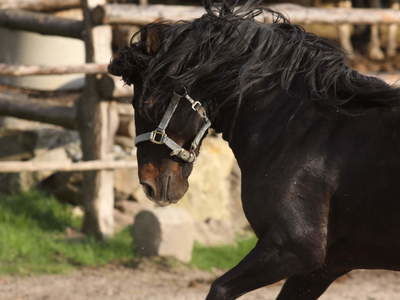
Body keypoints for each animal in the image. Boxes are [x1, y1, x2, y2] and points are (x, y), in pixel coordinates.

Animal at [108, 1, 400, 298]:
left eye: (148, 103)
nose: (149, 185)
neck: (304, 130)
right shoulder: (324, 267)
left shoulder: (295, 249)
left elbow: (219, 288)